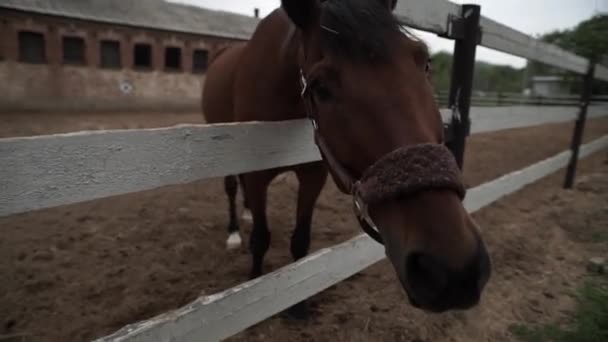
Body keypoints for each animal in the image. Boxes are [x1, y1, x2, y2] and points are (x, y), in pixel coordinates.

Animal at [202, 0, 492, 318]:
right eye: (319, 87)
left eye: (424, 62)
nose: (454, 270)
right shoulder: (256, 174)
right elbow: (260, 239)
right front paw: (255, 281)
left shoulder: (313, 175)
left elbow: (300, 242)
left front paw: (299, 307)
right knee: (231, 187)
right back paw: (233, 231)